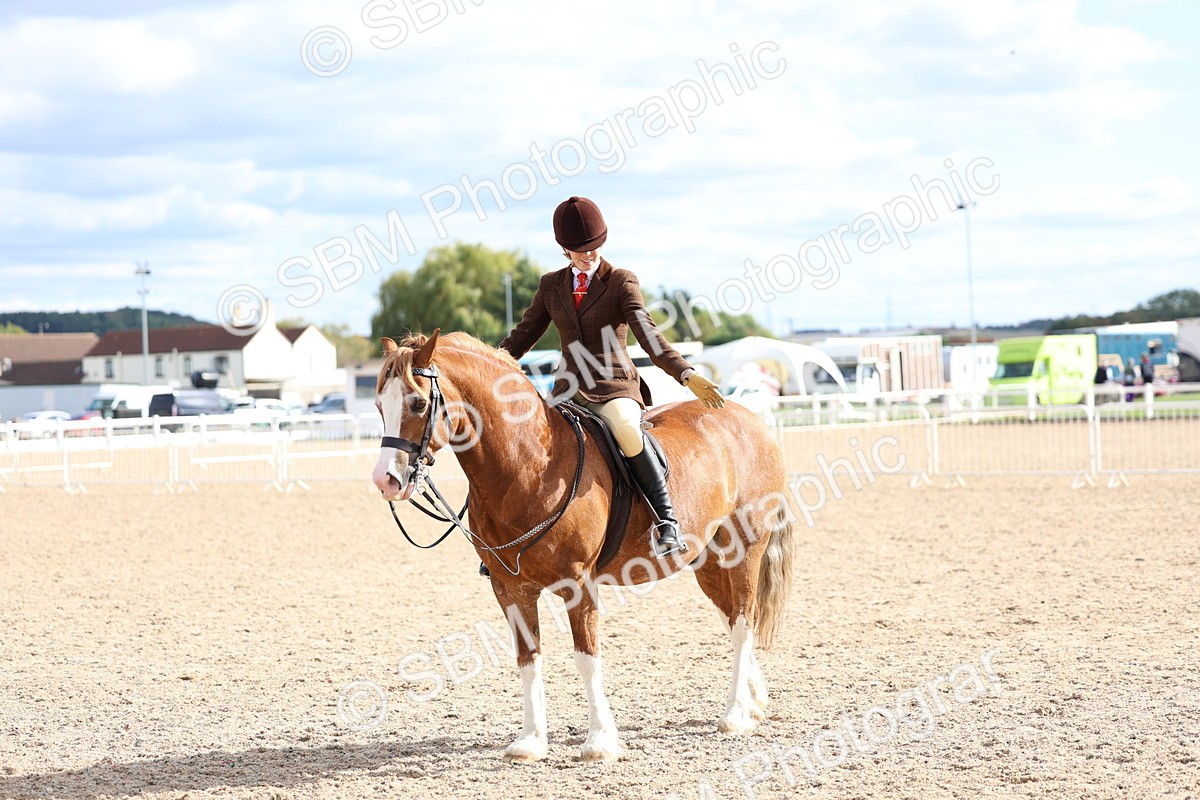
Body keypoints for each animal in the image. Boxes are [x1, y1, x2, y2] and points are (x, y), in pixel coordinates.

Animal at [371, 330, 794, 763]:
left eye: (418, 403)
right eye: (379, 404)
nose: (386, 480)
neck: (528, 468)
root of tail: (747, 418)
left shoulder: (578, 584)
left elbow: (587, 658)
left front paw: (599, 741)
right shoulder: (510, 589)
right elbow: (527, 659)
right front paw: (531, 741)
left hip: (746, 549)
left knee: (743, 621)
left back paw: (735, 714)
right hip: (708, 561)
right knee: (732, 616)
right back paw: (754, 702)